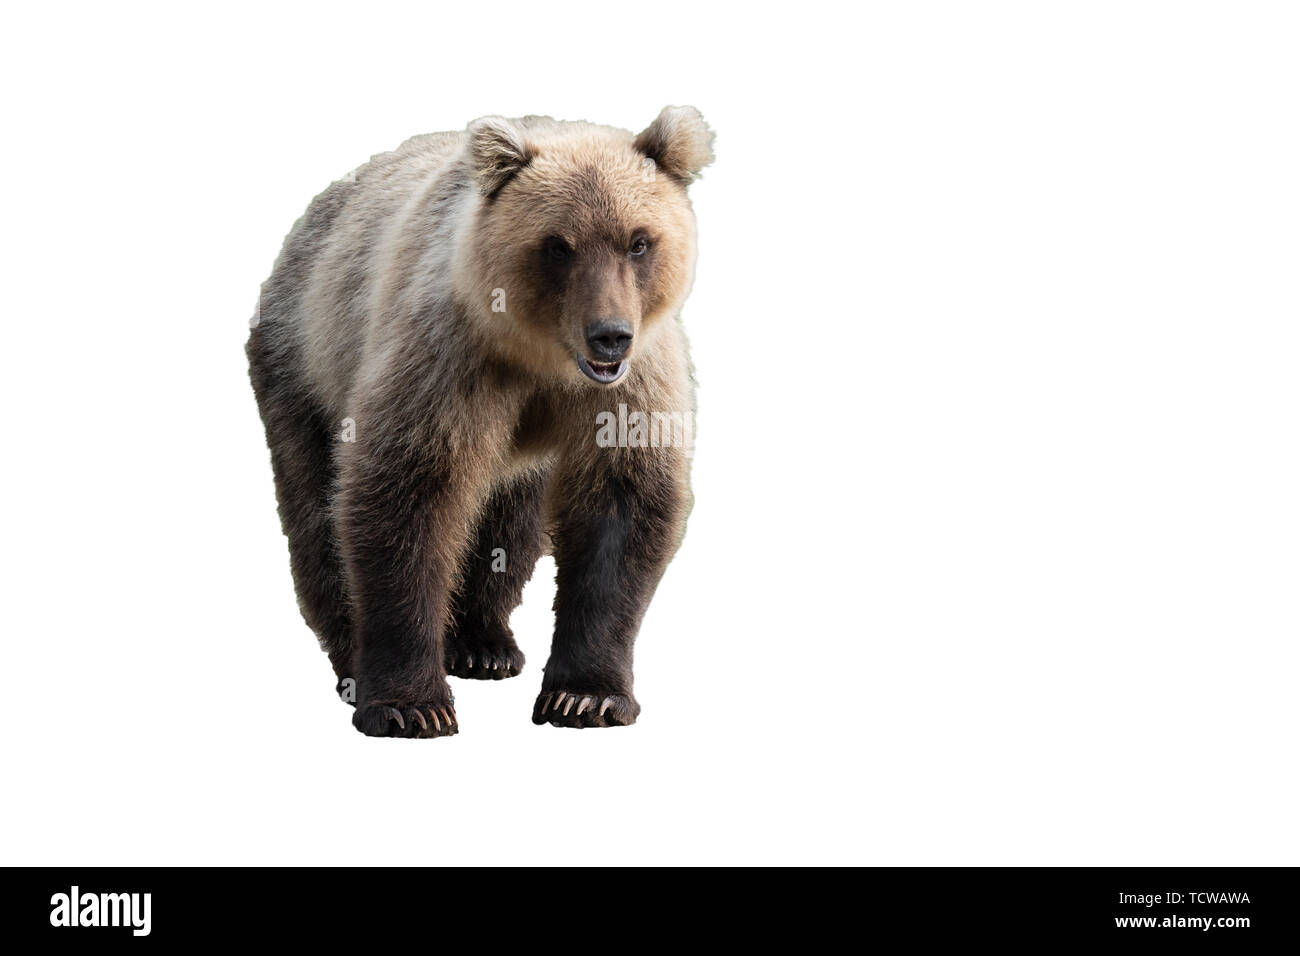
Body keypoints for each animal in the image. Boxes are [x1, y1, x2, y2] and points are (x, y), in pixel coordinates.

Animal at [244, 110, 712, 738]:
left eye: (639, 242)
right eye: (557, 246)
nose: (610, 335)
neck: (542, 359)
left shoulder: (630, 389)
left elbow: (620, 507)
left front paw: (584, 697)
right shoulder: (448, 359)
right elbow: (406, 497)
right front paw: (411, 705)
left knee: (509, 520)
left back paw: (483, 644)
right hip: (304, 362)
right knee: (315, 509)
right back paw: (351, 660)